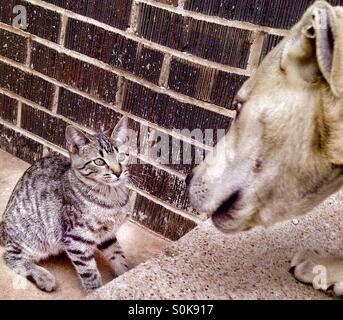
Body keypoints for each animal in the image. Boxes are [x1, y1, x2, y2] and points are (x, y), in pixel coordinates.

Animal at [0, 117, 132, 292]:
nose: (118, 172)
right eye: (99, 161)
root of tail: (3, 226)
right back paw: (44, 277)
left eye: (122, 157)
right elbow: (90, 273)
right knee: (11, 256)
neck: (112, 195)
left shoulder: (107, 234)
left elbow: (118, 256)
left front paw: (125, 277)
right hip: (35, 237)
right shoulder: (76, 237)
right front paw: (96, 291)